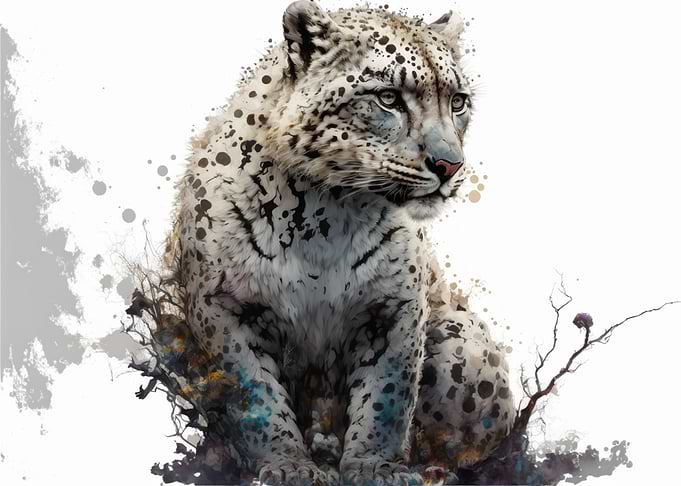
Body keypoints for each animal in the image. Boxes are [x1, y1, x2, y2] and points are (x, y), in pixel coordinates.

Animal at [168, 1, 514, 484]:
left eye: (457, 102)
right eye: (388, 98)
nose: (450, 164)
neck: (324, 221)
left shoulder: (394, 310)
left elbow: (388, 395)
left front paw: (376, 466)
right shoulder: (225, 308)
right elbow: (256, 394)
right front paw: (288, 465)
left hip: (463, 342)